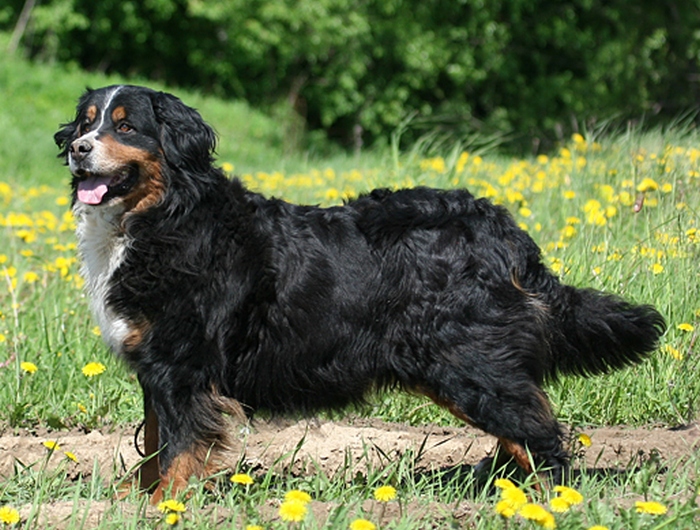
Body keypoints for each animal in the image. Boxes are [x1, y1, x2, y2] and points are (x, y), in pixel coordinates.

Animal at [56, 85, 668, 500]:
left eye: (126, 127)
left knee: (537, 431)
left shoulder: (182, 364)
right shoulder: (155, 363)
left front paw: (165, 506)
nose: (78, 148)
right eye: (86, 122)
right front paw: (130, 501)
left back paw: (542, 501)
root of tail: (501, 227)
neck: (161, 218)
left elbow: (178, 447)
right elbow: (155, 442)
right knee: (521, 424)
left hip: (467, 360)